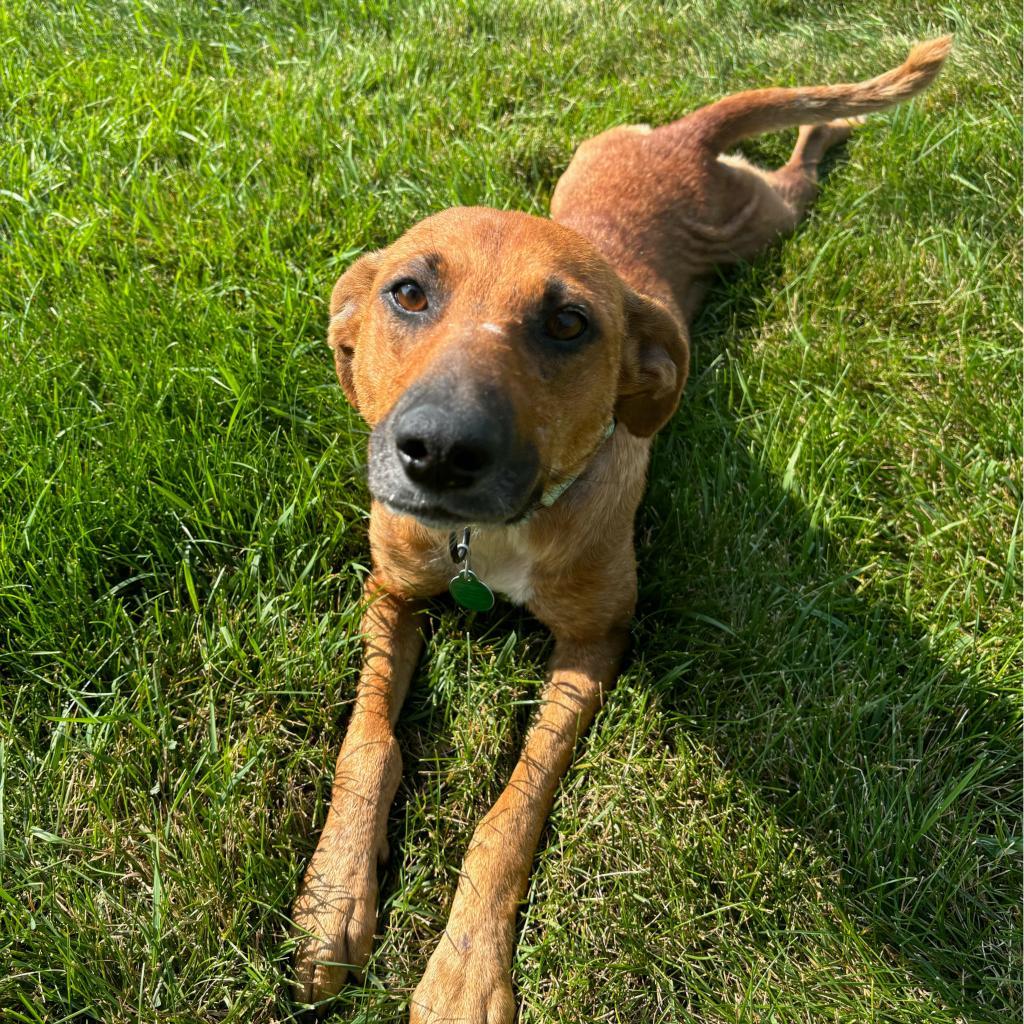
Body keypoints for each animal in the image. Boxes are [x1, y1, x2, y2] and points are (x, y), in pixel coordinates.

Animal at [290, 36, 950, 1019]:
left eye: (569, 324)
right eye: (406, 293)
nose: (439, 450)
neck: (492, 542)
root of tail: (685, 135)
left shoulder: (597, 642)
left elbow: (509, 814)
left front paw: (464, 968)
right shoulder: (392, 595)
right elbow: (367, 745)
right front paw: (332, 899)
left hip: (763, 219)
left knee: (800, 167)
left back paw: (828, 130)